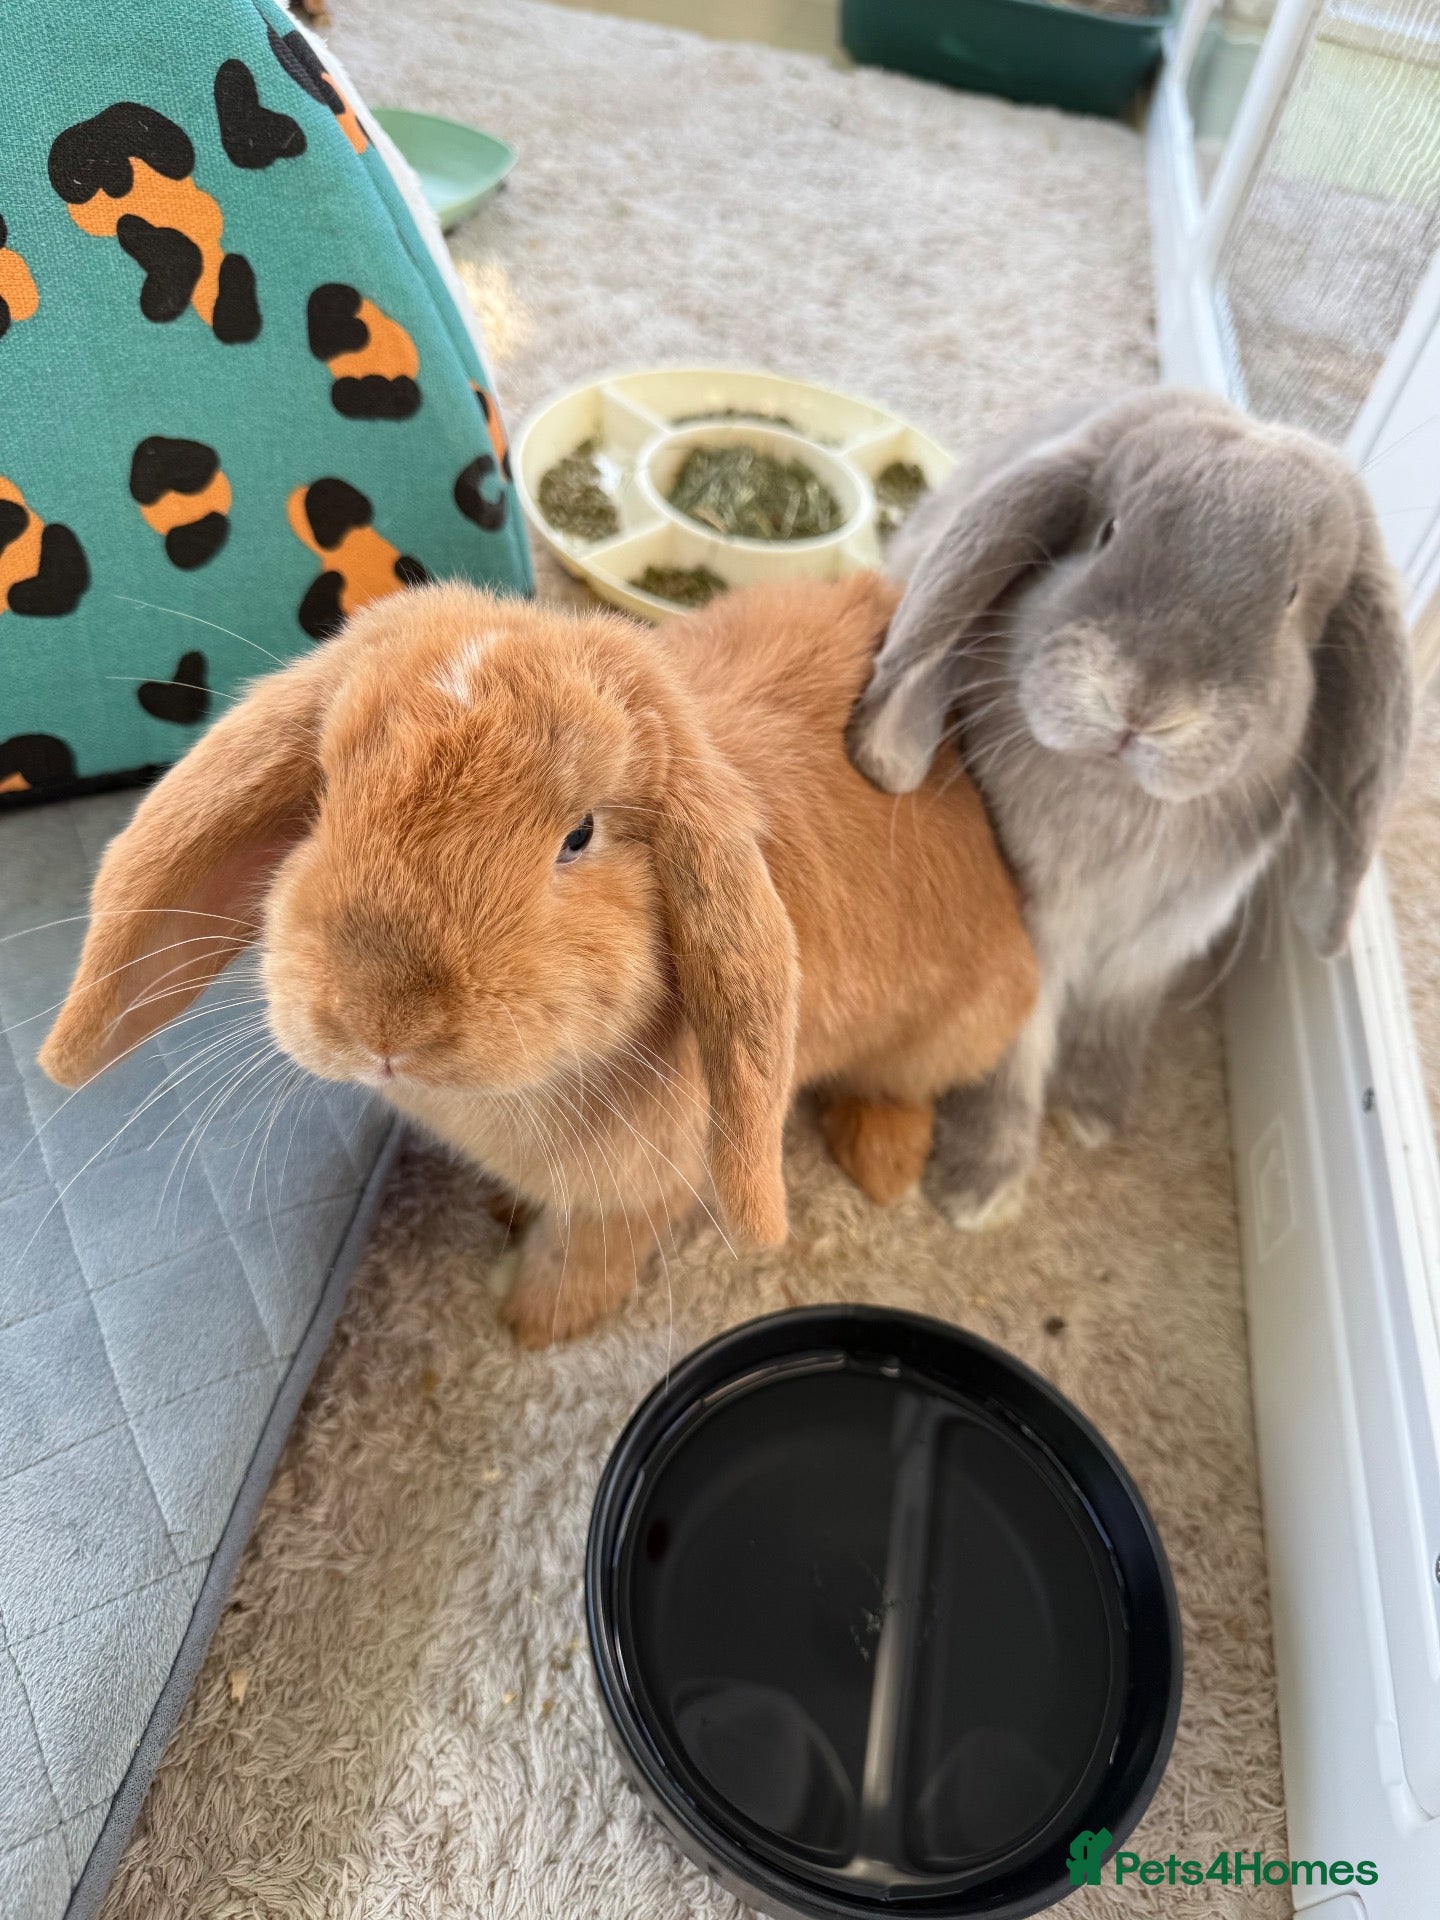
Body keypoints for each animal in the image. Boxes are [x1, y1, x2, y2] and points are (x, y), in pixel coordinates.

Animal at [41, 573, 1037, 1345]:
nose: (382, 1022)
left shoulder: (639, 1195)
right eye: (322, 795)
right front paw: (506, 1220)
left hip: (948, 1032)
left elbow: (583, 1260)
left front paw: (531, 1325)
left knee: (904, 1087)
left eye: (580, 836)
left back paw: (882, 1163)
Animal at [848, 387, 1413, 1230]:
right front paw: (980, 1190)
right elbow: (1015, 1051)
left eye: (1290, 601)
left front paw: (1093, 1111)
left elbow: (1117, 1014)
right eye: (1106, 531)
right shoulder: (1032, 932)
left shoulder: (1162, 939)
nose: (1141, 703)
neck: (1122, 797)